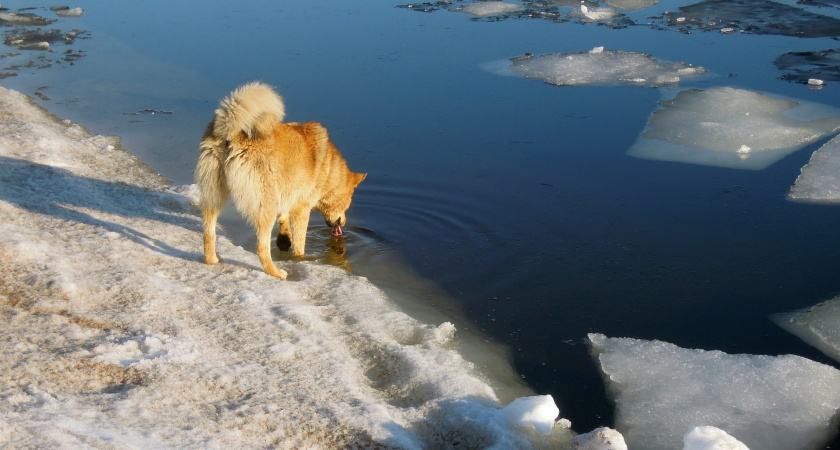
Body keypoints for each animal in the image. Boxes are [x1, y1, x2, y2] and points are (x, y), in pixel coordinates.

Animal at [199, 81, 370, 278]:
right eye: (348, 202)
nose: (343, 224)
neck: (328, 170)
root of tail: (232, 130)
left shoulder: (286, 192)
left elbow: (284, 218)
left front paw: (283, 240)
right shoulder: (302, 208)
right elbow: (299, 243)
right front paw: (300, 258)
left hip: (213, 195)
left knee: (208, 234)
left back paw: (211, 259)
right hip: (265, 205)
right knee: (261, 247)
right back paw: (277, 273)